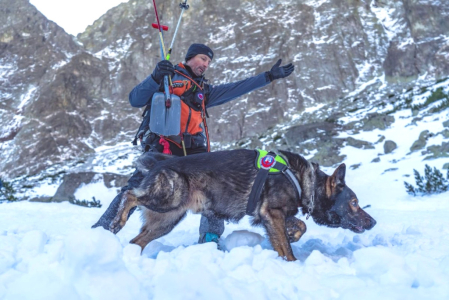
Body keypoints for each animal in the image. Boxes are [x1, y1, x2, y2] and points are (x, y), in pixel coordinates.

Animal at [108, 149, 374, 260]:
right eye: (354, 203)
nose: (373, 222)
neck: (302, 180)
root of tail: (157, 164)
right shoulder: (273, 213)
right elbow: (287, 248)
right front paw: (292, 263)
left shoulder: (273, 215)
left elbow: (298, 227)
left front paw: (293, 235)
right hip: (168, 199)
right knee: (129, 194)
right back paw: (116, 221)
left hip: (167, 219)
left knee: (137, 241)